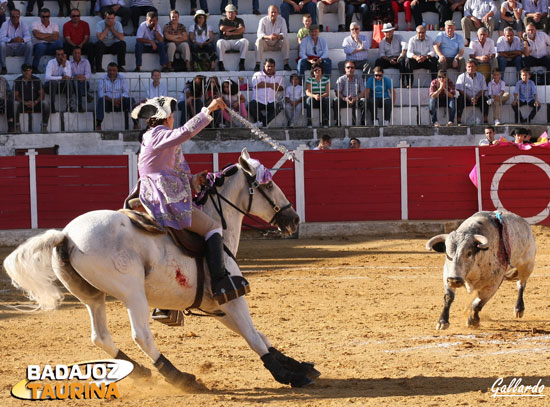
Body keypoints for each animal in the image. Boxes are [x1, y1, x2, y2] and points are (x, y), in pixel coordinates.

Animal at [3, 148, 320, 390]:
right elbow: (254, 337)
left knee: (100, 336)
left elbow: (259, 335)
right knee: (141, 335)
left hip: (92, 297)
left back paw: (139, 371)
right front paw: (288, 375)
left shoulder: (216, 307)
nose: (293, 219)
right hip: (132, 293)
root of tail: (66, 235)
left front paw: (298, 365)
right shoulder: (232, 298)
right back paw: (179, 377)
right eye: (268, 185)